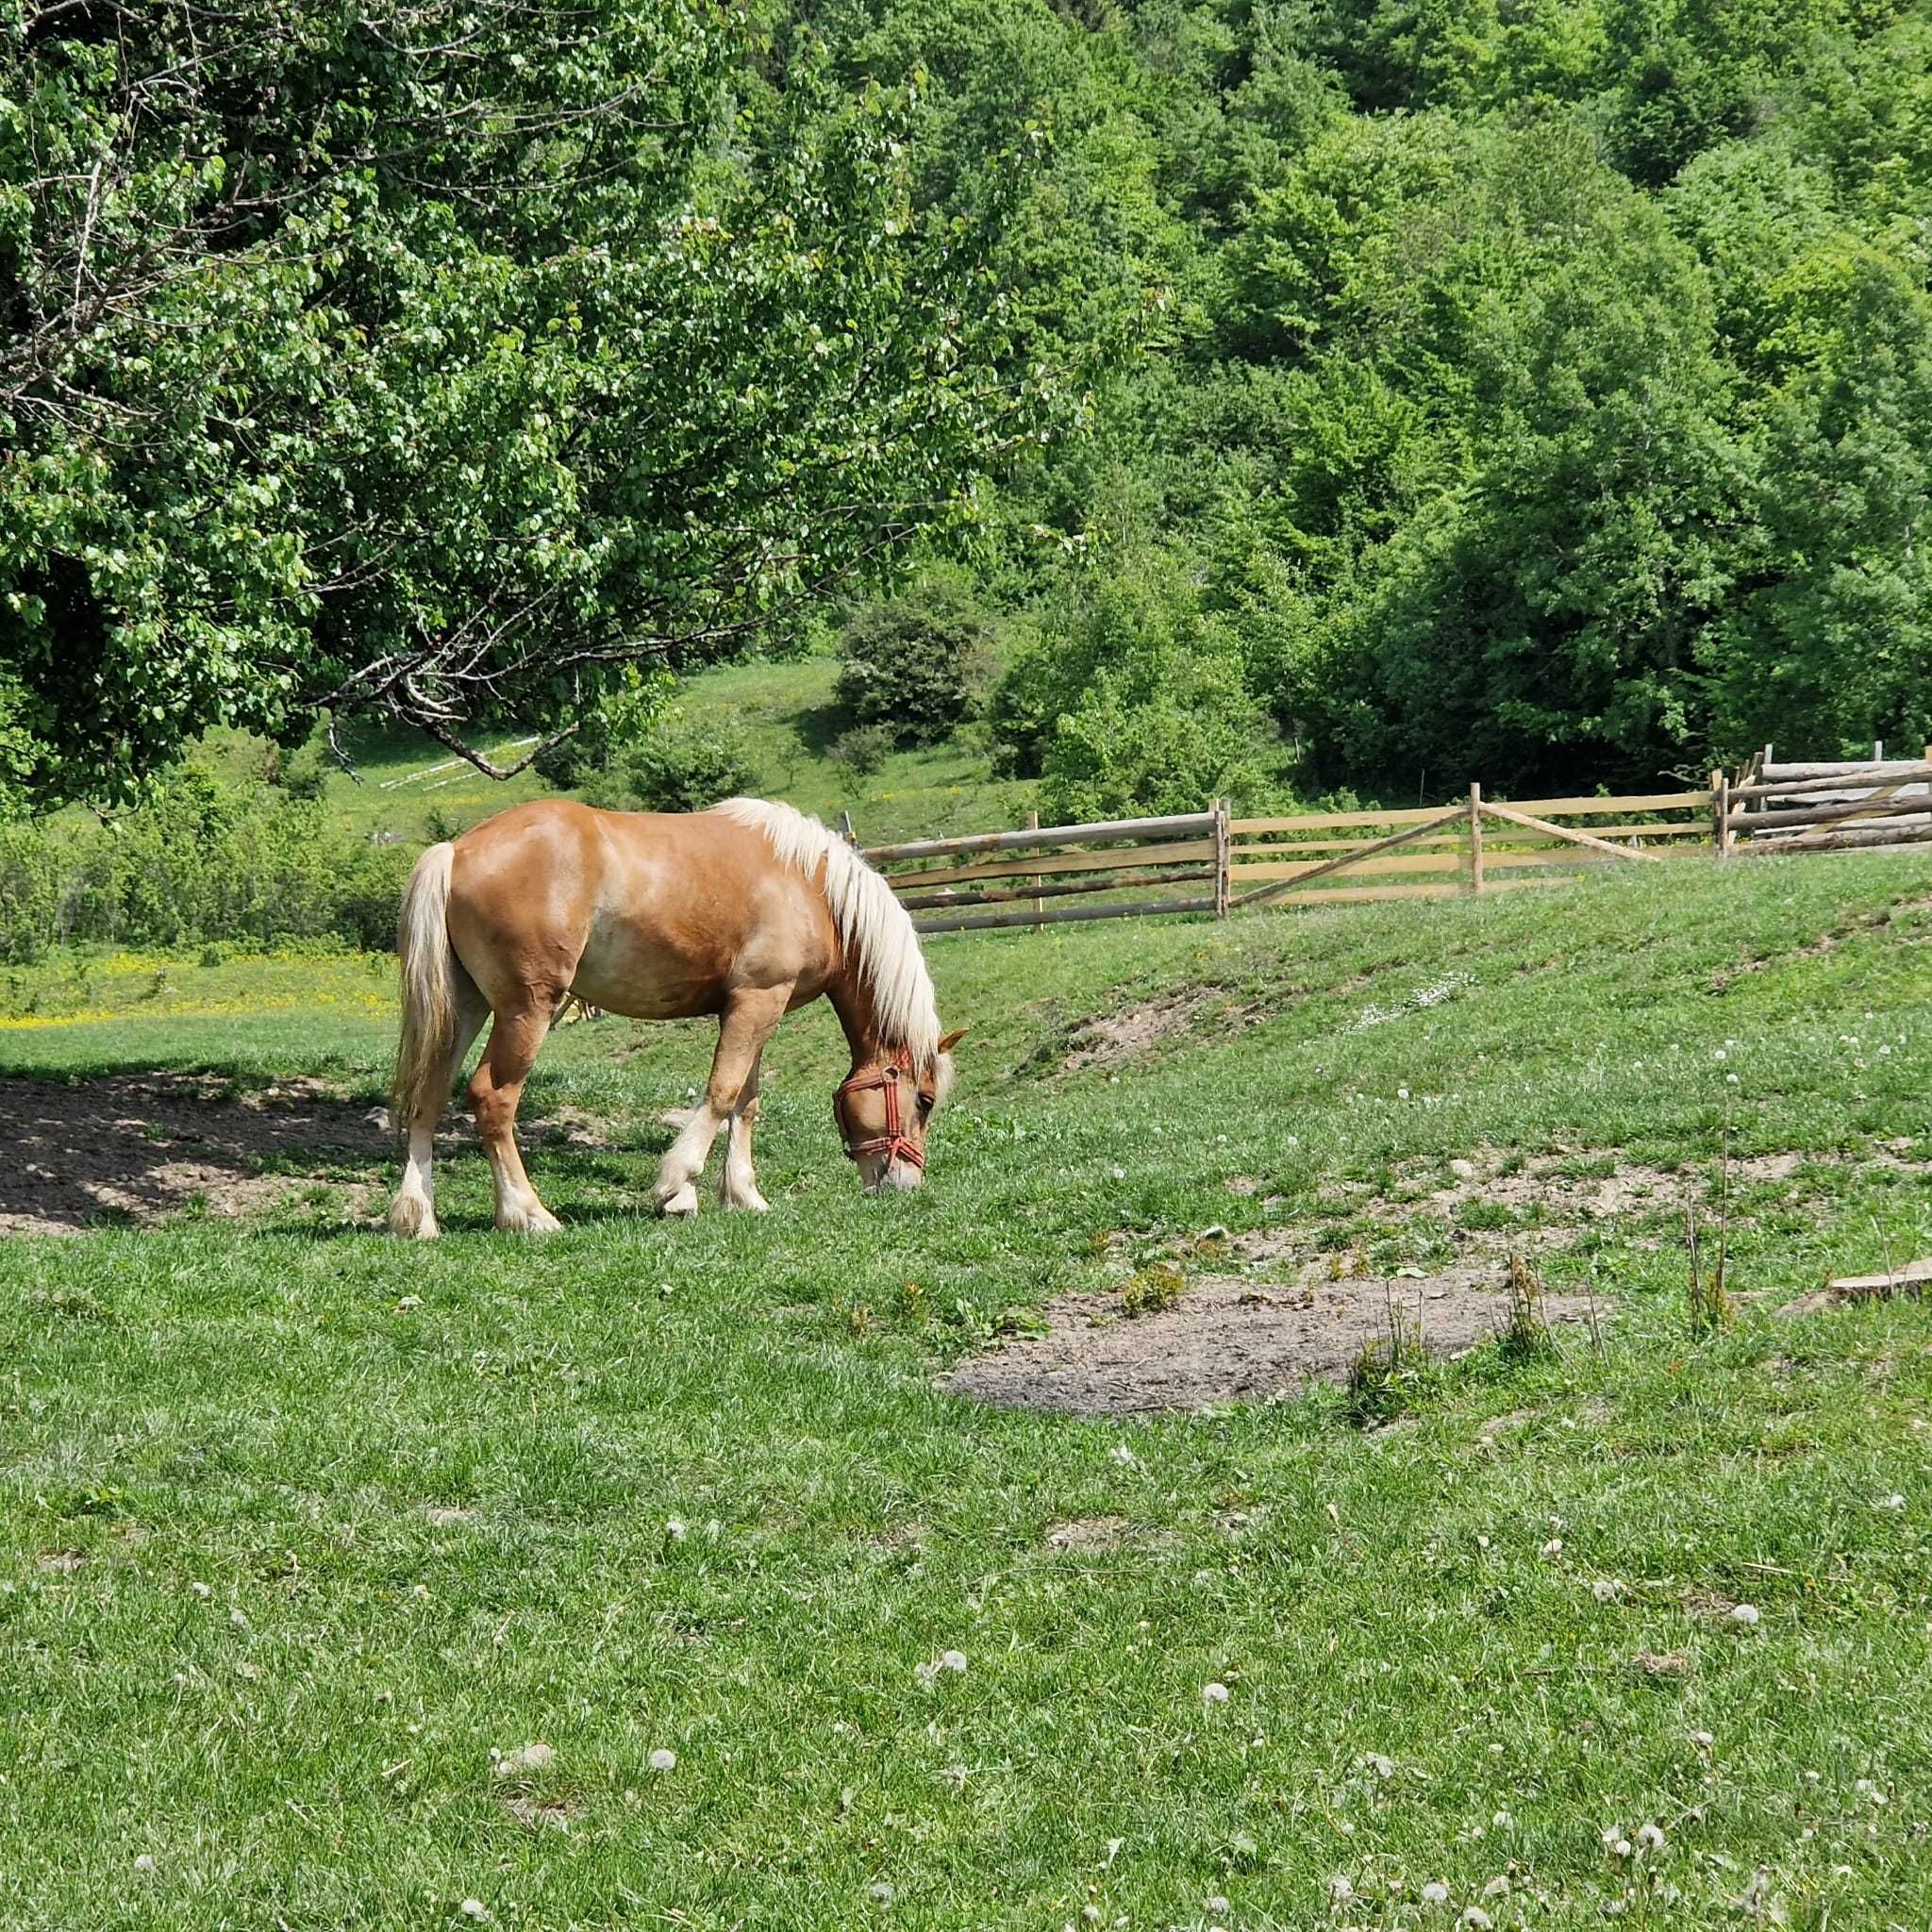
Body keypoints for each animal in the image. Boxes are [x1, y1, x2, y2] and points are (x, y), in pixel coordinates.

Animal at [388, 795, 961, 1236]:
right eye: (925, 1100)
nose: (904, 1185)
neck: (811, 887)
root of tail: (456, 851)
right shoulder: (758, 1000)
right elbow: (722, 1093)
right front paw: (677, 1187)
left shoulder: (756, 1007)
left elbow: (746, 1103)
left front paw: (744, 1195)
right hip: (525, 1011)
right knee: (493, 1098)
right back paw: (527, 1214)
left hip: (465, 1008)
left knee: (428, 1096)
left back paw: (418, 1218)